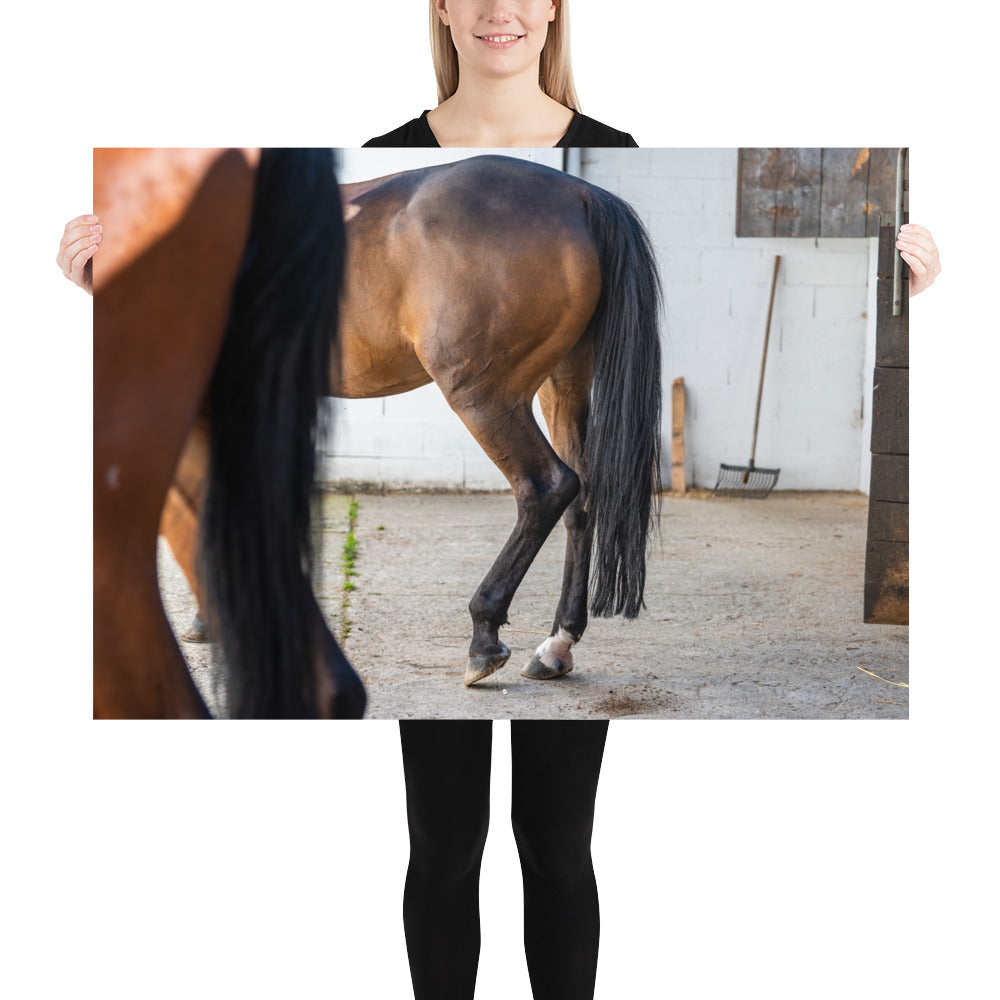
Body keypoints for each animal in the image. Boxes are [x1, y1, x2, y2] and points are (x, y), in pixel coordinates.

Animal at [162, 154, 664, 688]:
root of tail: (578, 195)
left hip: (485, 395)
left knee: (546, 488)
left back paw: (485, 635)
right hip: (562, 387)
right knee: (583, 498)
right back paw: (555, 646)